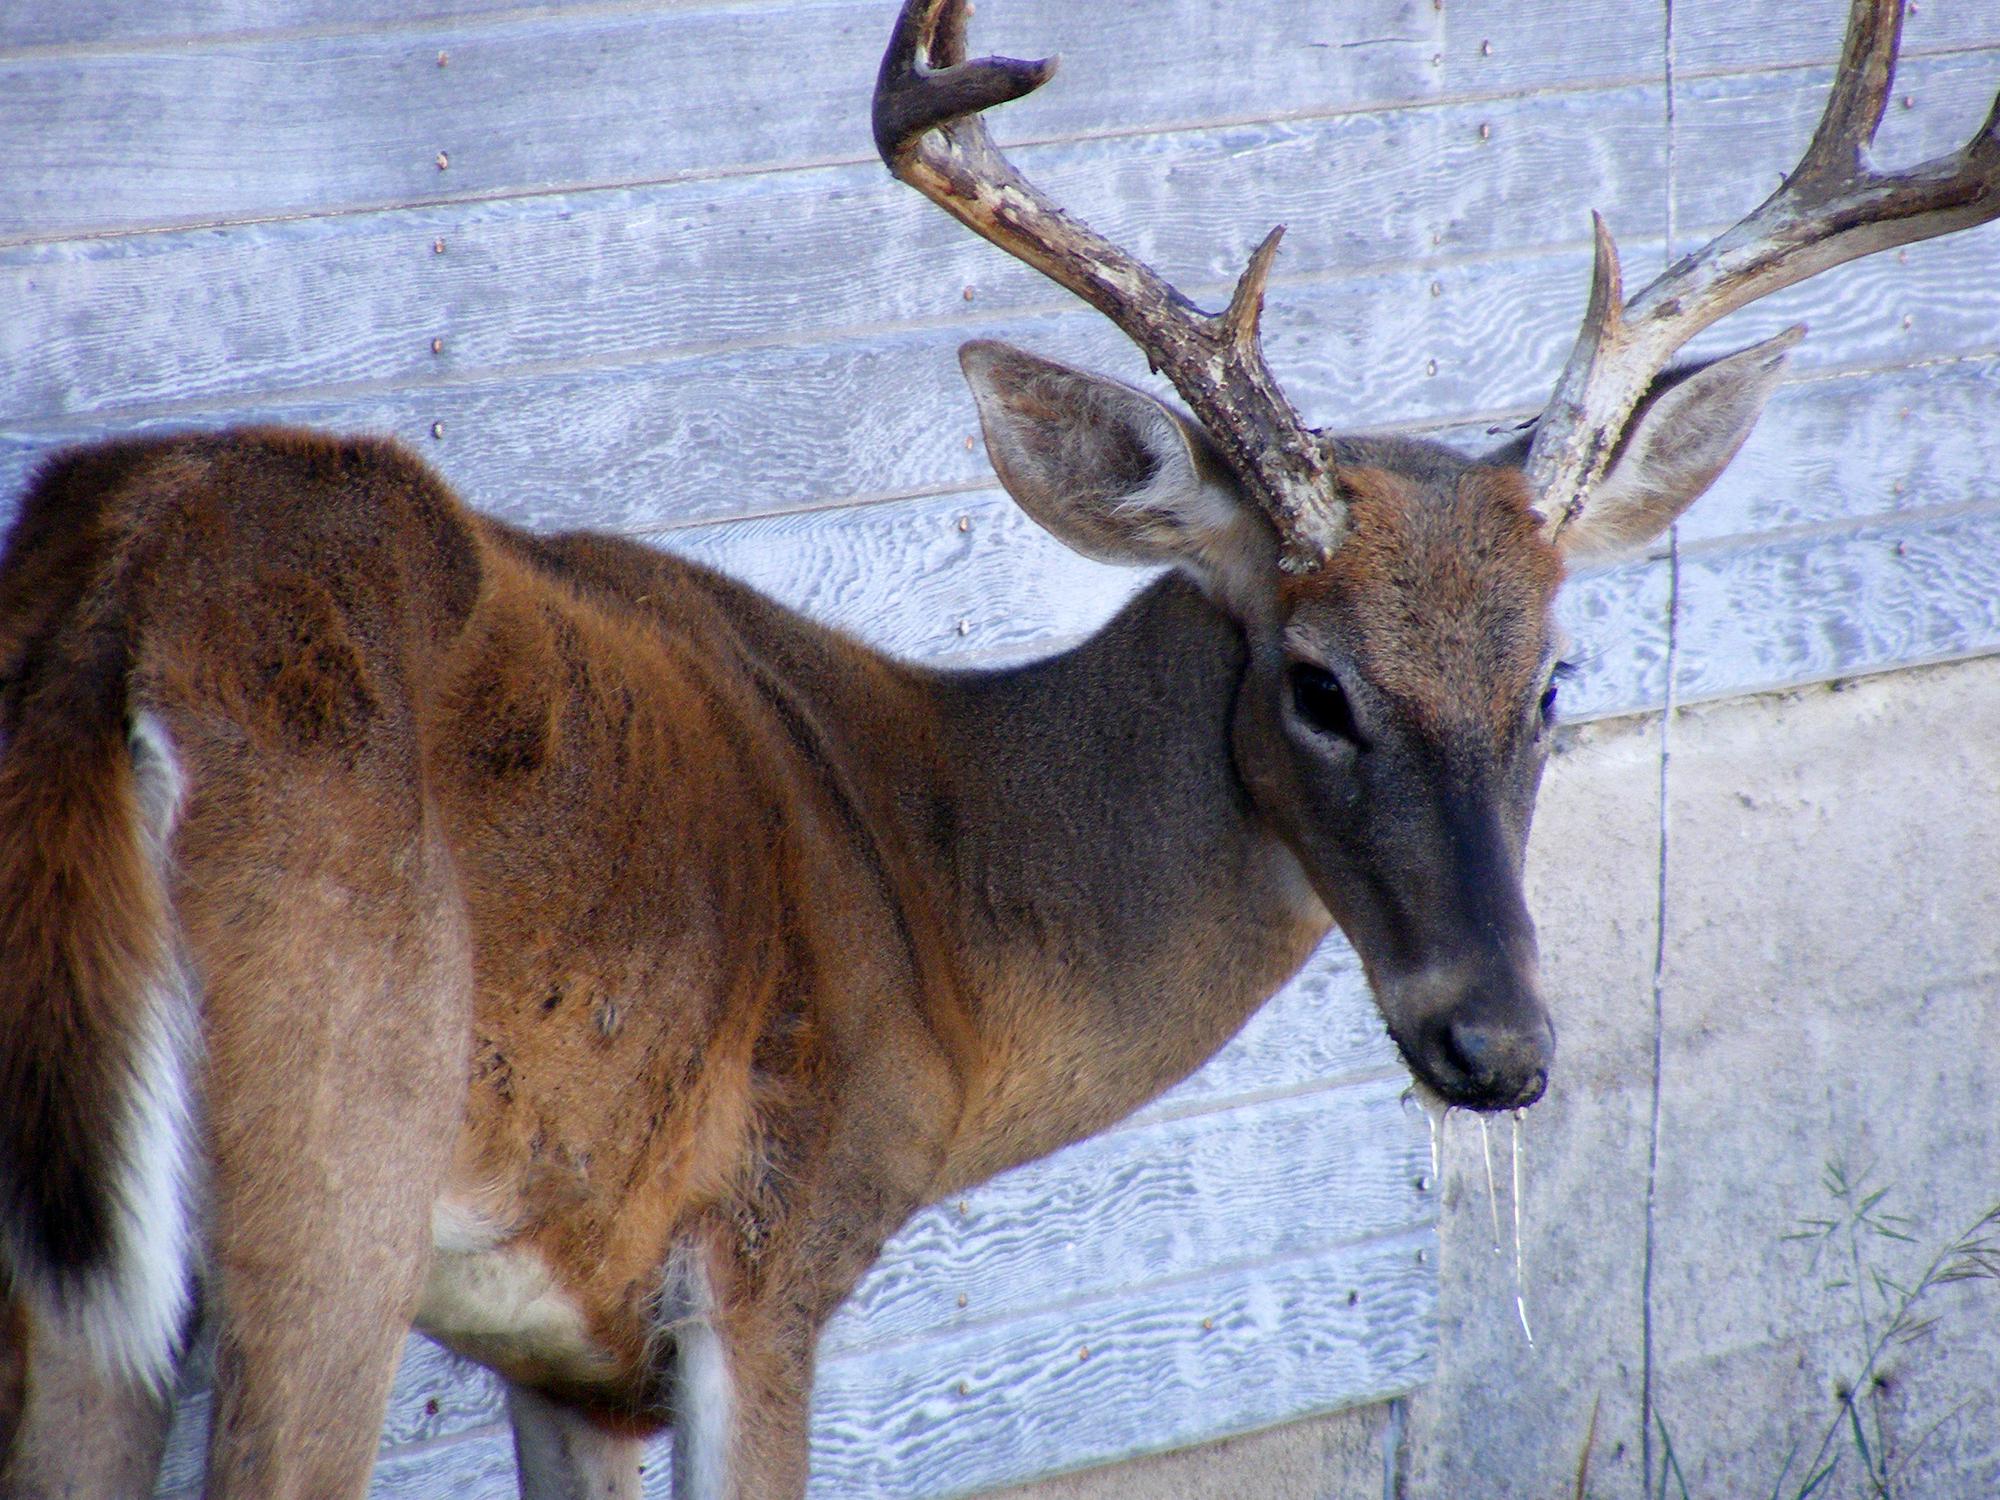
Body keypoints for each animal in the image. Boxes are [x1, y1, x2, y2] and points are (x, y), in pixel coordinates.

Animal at [0, 2, 1992, 1500]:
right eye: (1318, 683)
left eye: (1559, 678)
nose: (1498, 1047)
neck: (938, 911)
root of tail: (121, 599)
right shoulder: (764, 1264)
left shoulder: (570, 1350)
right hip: (327, 1171)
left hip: (83, 1254)